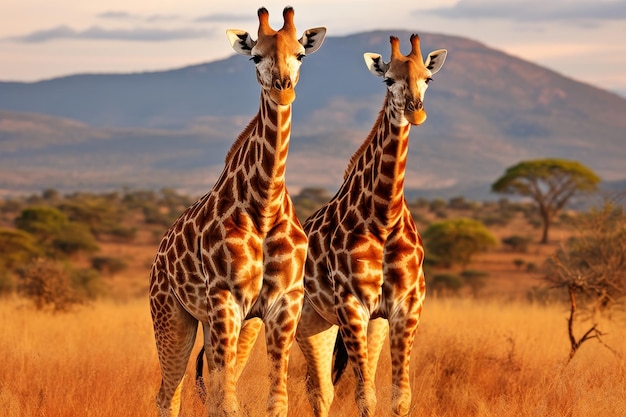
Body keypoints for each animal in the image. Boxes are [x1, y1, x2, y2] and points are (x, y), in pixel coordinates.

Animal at [149, 7, 324, 416]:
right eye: (255, 57)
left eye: (300, 54)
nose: (282, 87)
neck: (265, 205)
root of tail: (158, 255)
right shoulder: (225, 297)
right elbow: (228, 404)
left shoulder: (284, 302)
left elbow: (275, 402)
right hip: (172, 315)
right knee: (168, 395)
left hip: (231, 323)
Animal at [292, 35, 444, 416]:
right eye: (388, 80)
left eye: (428, 78)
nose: (415, 111)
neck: (383, 216)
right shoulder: (352, 305)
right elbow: (365, 397)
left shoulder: (406, 306)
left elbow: (400, 397)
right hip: (310, 322)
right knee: (319, 391)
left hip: (359, 324)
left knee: (325, 388)